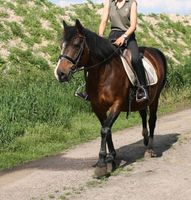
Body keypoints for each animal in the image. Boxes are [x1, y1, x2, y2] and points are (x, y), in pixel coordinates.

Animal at [54, 19, 167, 177]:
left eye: (76, 44)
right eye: (62, 45)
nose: (60, 73)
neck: (104, 72)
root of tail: (156, 52)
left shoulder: (117, 104)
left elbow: (105, 130)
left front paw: (102, 163)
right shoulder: (97, 107)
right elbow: (106, 130)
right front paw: (111, 158)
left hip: (155, 98)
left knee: (152, 120)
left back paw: (150, 149)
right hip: (142, 100)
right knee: (143, 114)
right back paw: (144, 139)